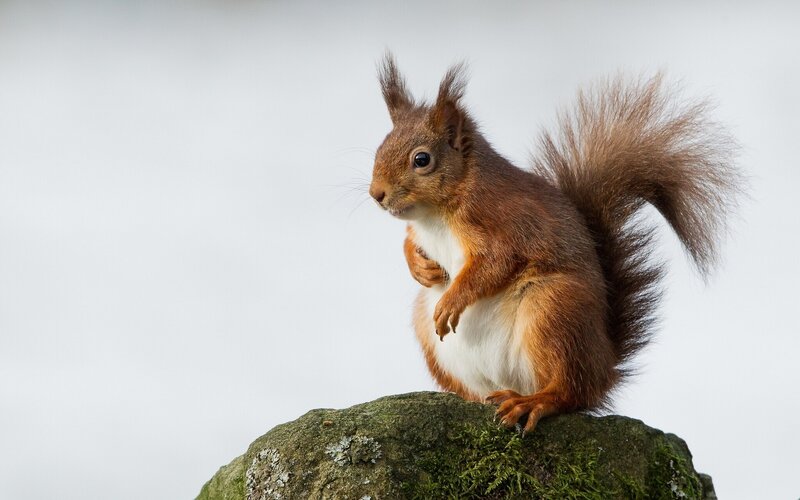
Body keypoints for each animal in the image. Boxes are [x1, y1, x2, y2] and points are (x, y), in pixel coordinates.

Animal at [368, 53, 741, 434]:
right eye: (379, 148)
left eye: (422, 159)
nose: (376, 194)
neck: (435, 214)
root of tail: (604, 367)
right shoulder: (422, 231)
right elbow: (409, 243)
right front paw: (420, 267)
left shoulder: (502, 221)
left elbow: (495, 263)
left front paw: (453, 300)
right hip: (435, 336)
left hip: (553, 309)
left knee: (570, 392)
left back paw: (535, 401)